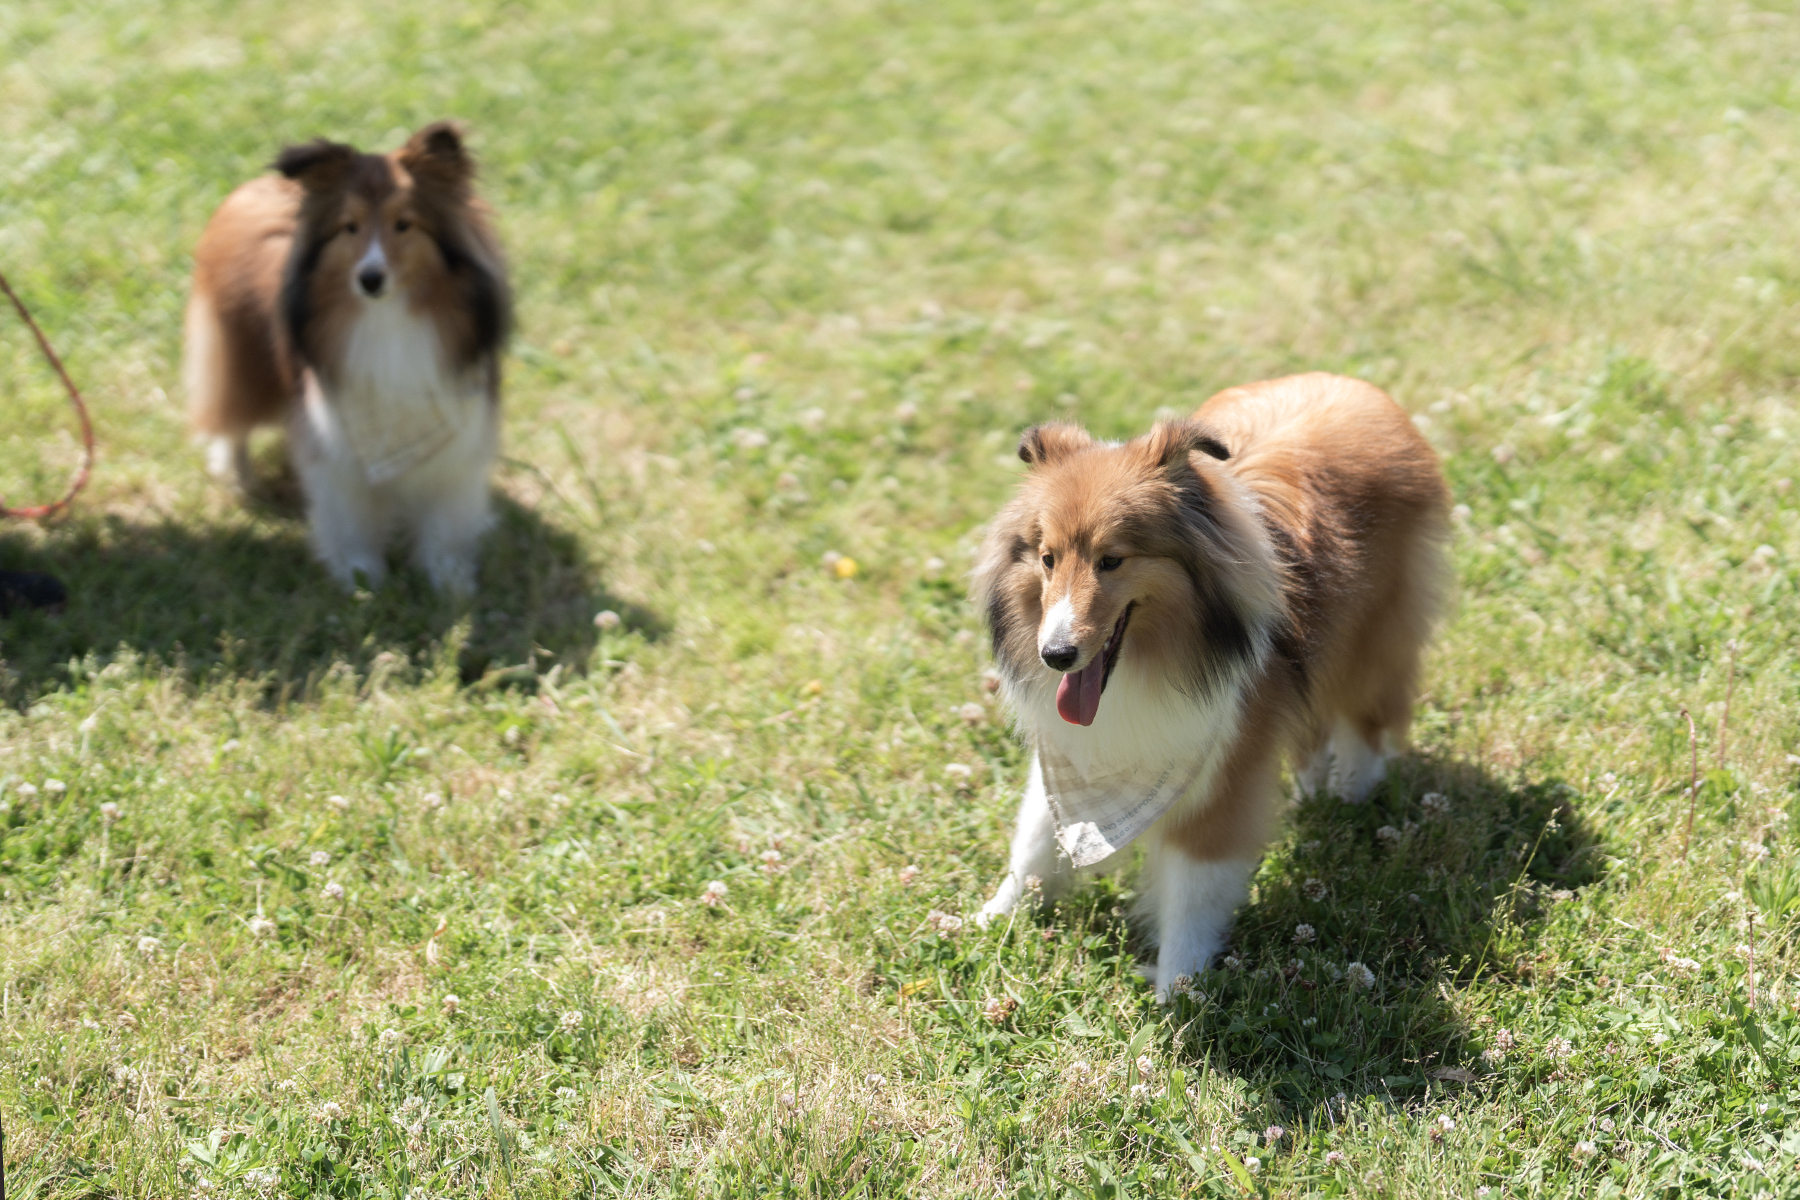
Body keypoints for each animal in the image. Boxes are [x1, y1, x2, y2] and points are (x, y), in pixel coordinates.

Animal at [187, 119, 511, 593]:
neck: (387, 316)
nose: (370, 279)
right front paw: (360, 576)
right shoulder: (335, 439)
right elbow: (350, 515)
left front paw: (449, 580)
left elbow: (444, 517)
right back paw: (238, 476)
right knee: (233, 422)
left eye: (403, 224)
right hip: (242, 359)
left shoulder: (457, 438)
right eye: (350, 227)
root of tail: (257, 186)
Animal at [972, 379, 1447, 1000]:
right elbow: (1033, 840)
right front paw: (991, 919)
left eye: (1112, 559)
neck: (1147, 664)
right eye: (1047, 558)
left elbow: (1194, 894)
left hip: (1371, 640)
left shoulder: (1222, 769)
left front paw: (1178, 989)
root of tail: (1351, 384)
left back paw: (1348, 800)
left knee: (1364, 724)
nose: (1055, 655)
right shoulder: (1070, 755)